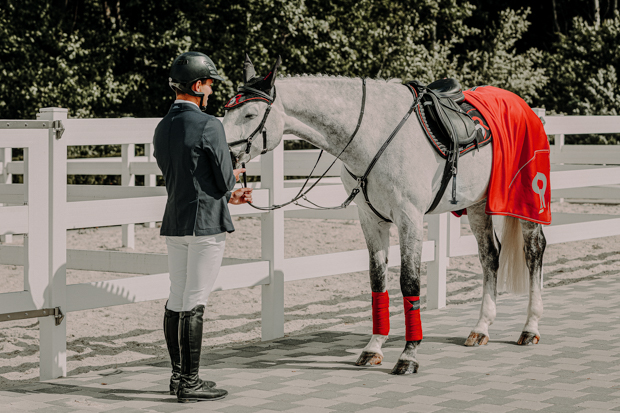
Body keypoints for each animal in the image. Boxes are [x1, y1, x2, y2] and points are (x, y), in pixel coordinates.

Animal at [224, 57, 548, 374]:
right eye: (227, 110)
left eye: (250, 114)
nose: (224, 155)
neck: (373, 135)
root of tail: (527, 109)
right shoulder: (370, 220)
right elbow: (377, 280)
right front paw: (374, 347)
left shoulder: (410, 218)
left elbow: (409, 282)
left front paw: (409, 354)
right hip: (479, 204)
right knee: (489, 256)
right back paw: (481, 327)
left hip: (527, 202)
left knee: (533, 251)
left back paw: (530, 327)